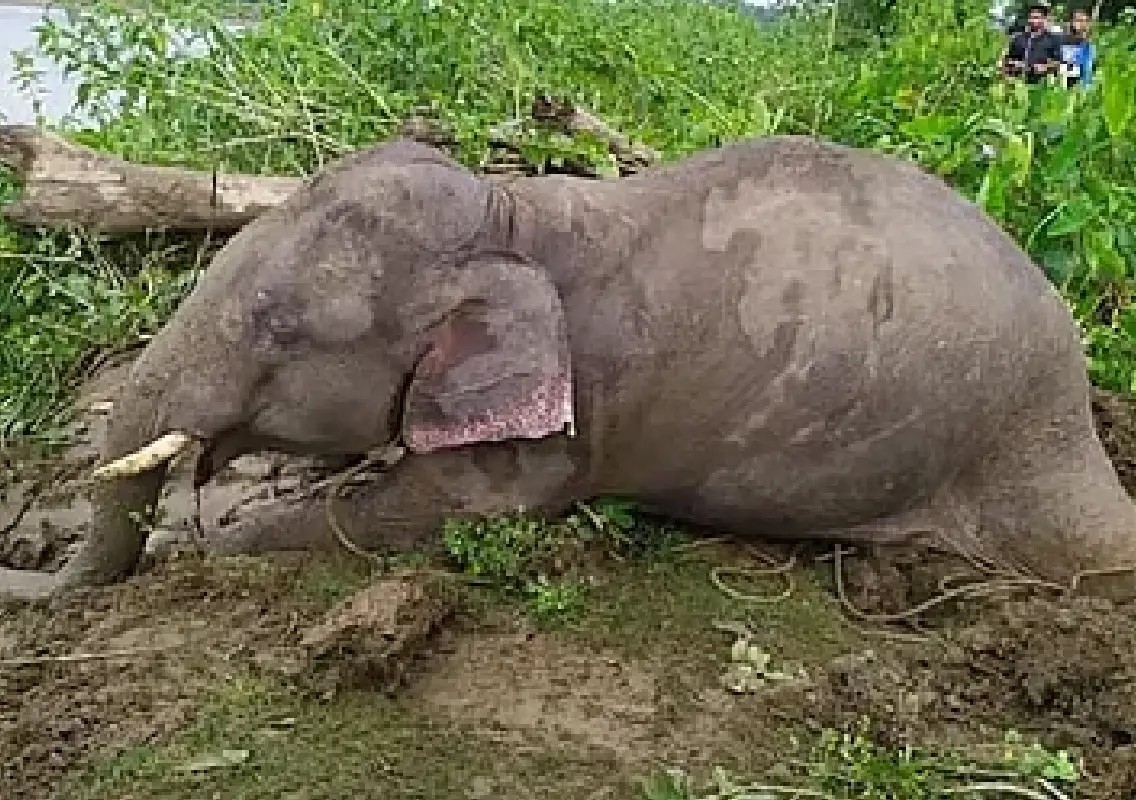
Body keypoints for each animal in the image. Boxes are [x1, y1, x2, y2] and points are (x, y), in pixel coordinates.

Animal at [3, 133, 1136, 603]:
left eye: (277, 327)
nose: (24, 566)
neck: (515, 219)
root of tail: (1079, 421)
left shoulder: (566, 422)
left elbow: (425, 514)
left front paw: (198, 546)